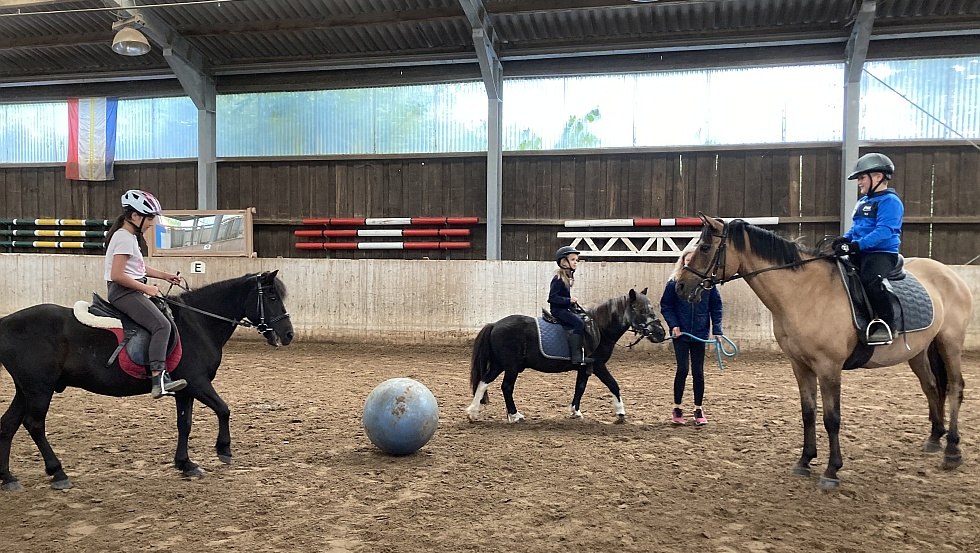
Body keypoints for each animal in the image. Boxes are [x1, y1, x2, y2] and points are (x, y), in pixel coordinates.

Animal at [0, 270, 292, 490]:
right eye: (272, 297)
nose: (288, 334)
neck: (198, 323)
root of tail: (5, 323)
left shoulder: (185, 390)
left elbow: (184, 425)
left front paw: (185, 464)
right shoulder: (197, 382)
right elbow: (224, 410)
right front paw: (223, 450)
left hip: (26, 389)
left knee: (9, 424)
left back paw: (8, 478)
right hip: (39, 388)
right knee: (34, 425)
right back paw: (58, 473)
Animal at [466, 288, 668, 422]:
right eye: (642, 310)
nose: (661, 333)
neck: (599, 329)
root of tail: (495, 324)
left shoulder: (585, 367)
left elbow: (580, 387)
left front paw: (575, 411)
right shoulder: (599, 365)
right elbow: (613, 385)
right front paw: (620, 413)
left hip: (500, 365)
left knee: (484, 382)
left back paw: (473, 412)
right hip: (511, 367)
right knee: (506, 387)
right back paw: (515, 415)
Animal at [672, 213, 972, 490]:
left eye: (705, 248)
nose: (680, 286)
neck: (805, 293)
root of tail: (950, 274)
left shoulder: (829, 367)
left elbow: (831, 418)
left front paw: (831, 471)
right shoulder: (800, 365)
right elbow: (808, 412)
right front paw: (804, 461)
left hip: (950, 343)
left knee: (954, 387)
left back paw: (952, 451)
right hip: (919, 352)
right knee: (931, 386)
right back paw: (934, 438)